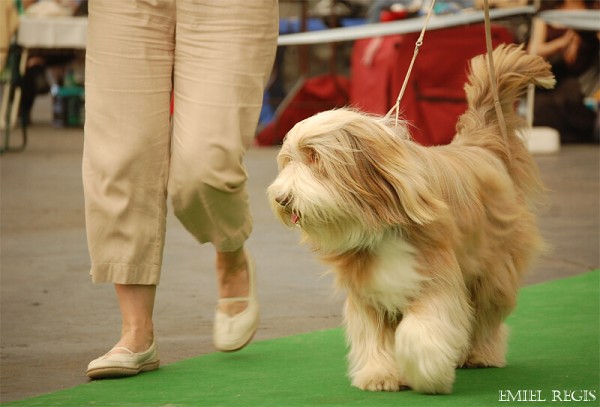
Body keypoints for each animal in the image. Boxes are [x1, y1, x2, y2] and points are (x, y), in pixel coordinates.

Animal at [270, 45, 556, 396]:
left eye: (315, 158)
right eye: (288, 160)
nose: (282, 199)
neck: (382, 224)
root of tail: (479, 145)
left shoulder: (435, 277)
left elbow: (419, 331)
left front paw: (426, 371)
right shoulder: (369, 291)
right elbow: (373, 337)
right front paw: (380, 375)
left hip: (493, 271)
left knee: (486, 318)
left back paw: (479, 355)